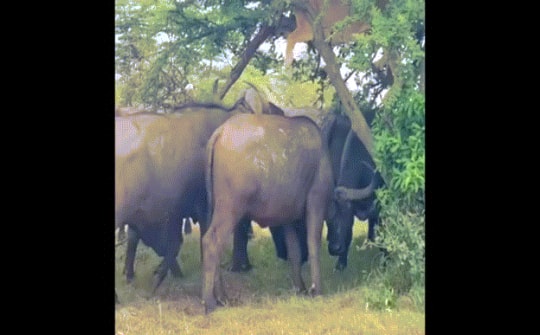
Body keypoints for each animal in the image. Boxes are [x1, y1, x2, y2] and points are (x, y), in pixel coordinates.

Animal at [202, 113, 336, 316]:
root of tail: (221, 131)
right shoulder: (316, 202)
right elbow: (313, 245)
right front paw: (317, 290)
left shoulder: (288, 218)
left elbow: (294, 252)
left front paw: (300, 288)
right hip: (230, 209)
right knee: (212, 241)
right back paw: (210, 302)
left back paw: (222, 297)